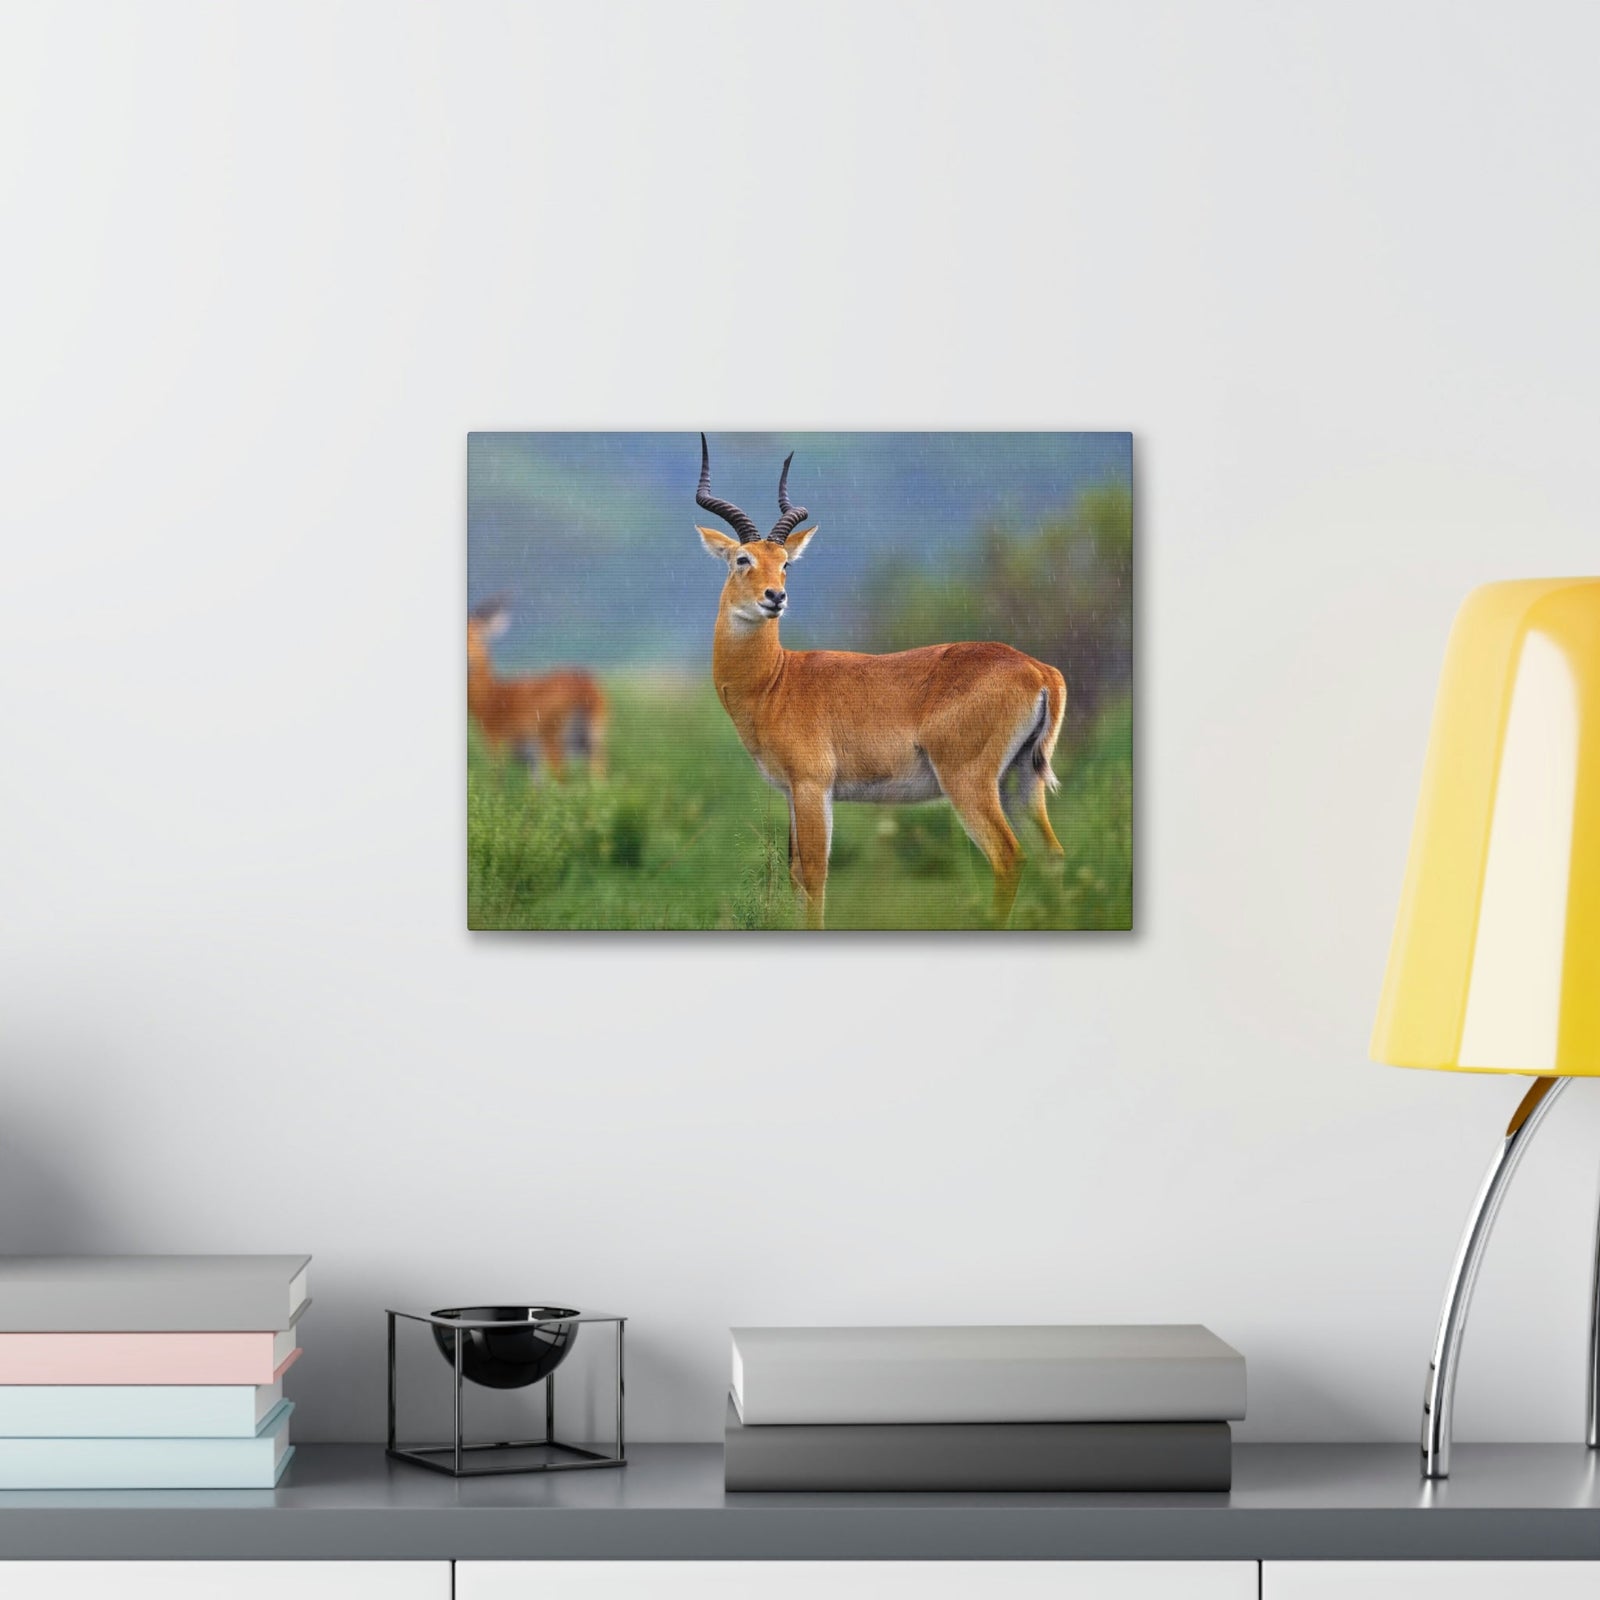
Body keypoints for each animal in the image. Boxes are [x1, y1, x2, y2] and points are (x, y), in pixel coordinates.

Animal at [467, 599, 608, 779]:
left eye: (475, 635)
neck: (492, 697)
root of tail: (585, 687)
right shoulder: (532, 760)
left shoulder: (496, 743)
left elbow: (497, 778)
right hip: (592, 740)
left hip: (553, 741)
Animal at [694, 434, 1066, 929]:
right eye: (742, 558)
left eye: (786, 562)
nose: (775, 597)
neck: (776, 681)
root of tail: (1039, 670)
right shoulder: (793, 791)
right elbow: (795, 873)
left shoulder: (812, 786)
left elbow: (814, 874)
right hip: (1022, 779)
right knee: (1052, 856)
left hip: (969, 781)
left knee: (1009, 857)